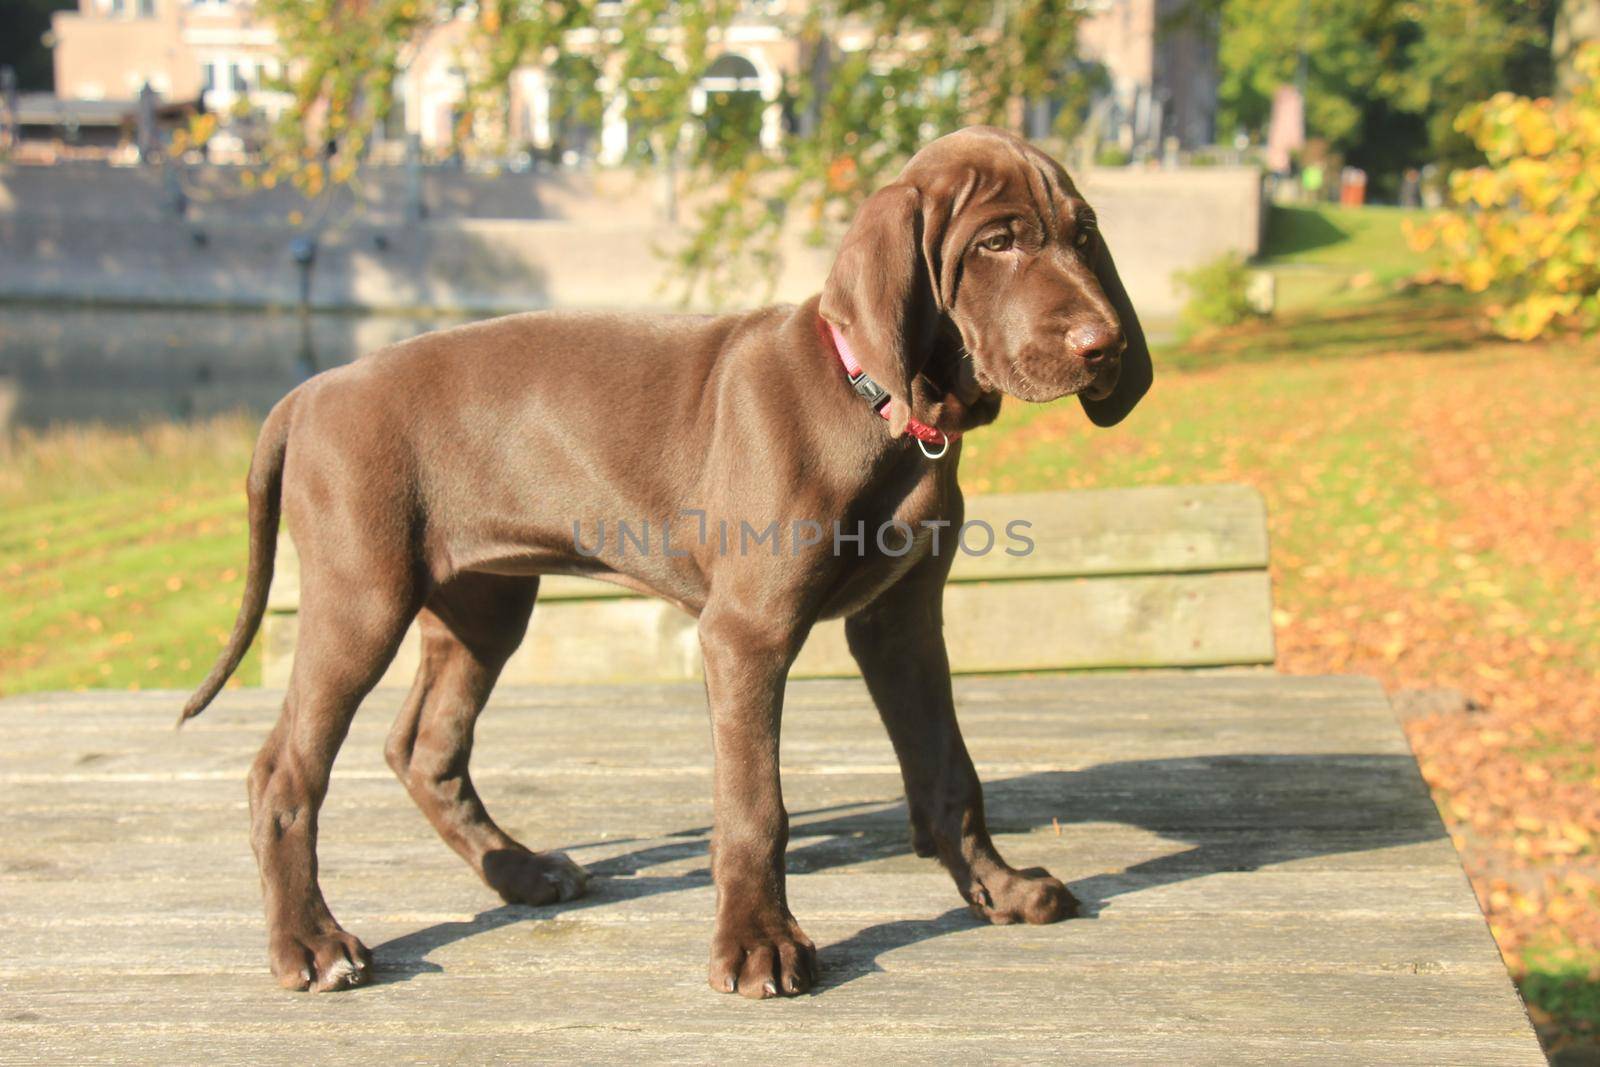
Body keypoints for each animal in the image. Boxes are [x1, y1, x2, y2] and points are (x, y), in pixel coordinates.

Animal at [181, 127, 1152, 1004]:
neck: (876, 405)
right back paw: (312, 943)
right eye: (996, 243)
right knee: (285, 771)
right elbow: (756, 804)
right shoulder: (746, 633)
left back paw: (517, 872)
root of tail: (309, 390)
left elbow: (950, 770)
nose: (1104, 344)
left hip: (483, 604)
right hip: (363, 596)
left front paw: (997, 888)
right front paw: (759, 944)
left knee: (425, 747)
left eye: (1085, 234)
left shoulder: (902, 623)